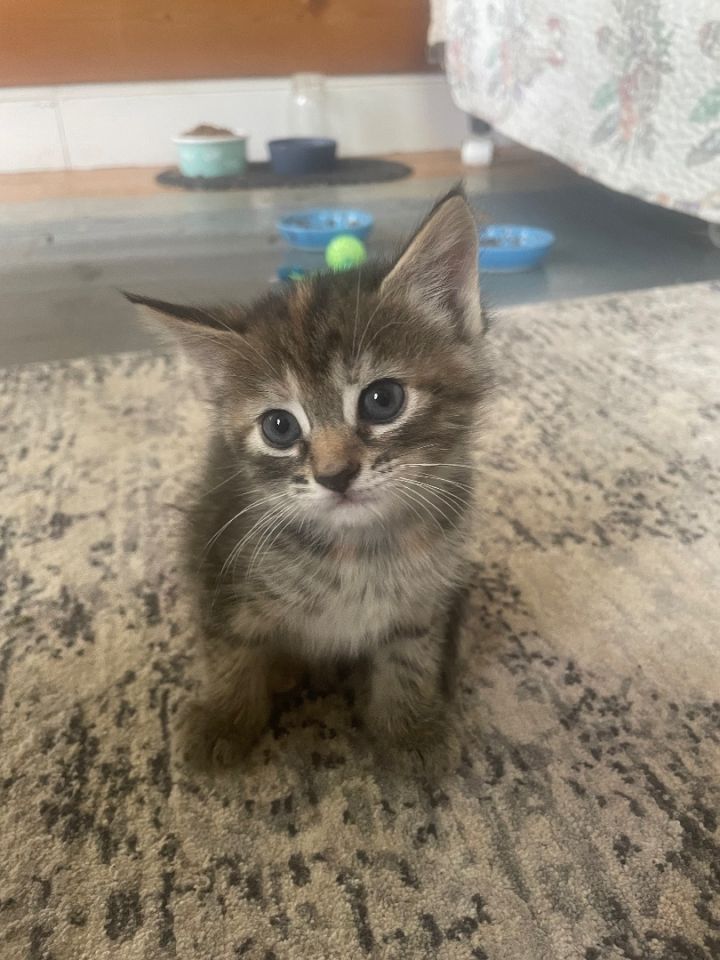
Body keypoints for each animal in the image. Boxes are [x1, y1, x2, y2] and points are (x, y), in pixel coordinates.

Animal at [126, 188, 492, 768]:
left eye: (383, 400)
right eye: (279, 427)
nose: (335, 475)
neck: (361, 551)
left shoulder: (424, 601)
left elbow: (411, 655)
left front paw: (407, 727)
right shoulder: (216, 560)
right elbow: (228, 648)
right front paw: (226, 719)